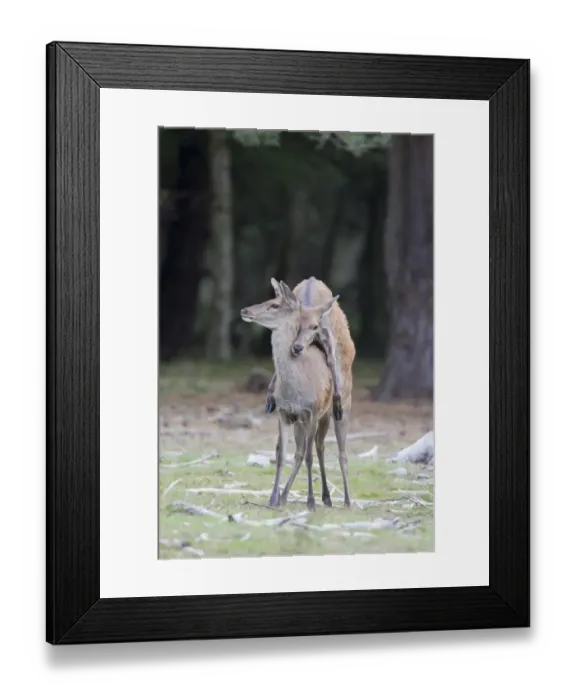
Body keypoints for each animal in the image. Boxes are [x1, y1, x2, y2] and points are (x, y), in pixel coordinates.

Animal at [240, 277, 355, 510]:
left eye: (274, 304)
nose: (244, 310)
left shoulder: (312, 412)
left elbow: (309, 457)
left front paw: (310, 501)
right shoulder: (285, 414)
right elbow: (282, 454)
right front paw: (273, 498)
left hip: (339, 407)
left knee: (339, 452)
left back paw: (346, 500)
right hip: (306, 420)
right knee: (311, 449)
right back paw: (312, 496)